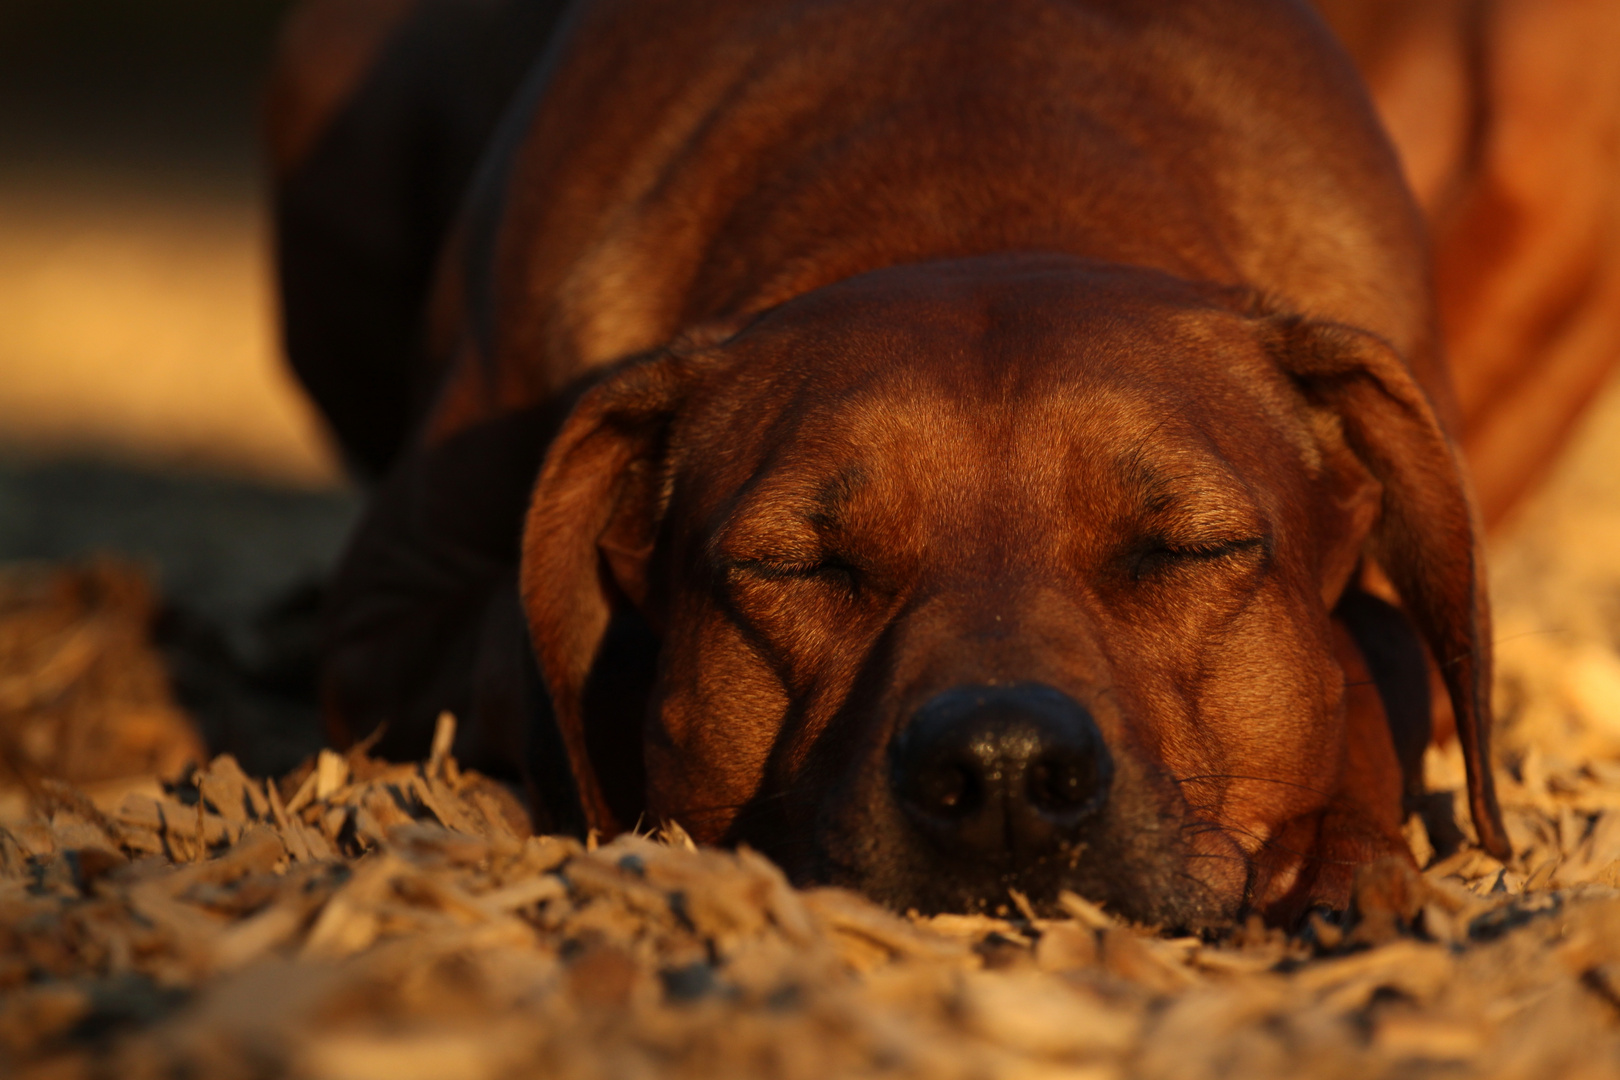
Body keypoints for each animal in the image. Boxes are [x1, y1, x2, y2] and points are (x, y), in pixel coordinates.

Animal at [265, 0, 1516, 932]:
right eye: (796, 567)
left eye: (1188, 550)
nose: (1005, 770)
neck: (981, 184)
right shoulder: (393, 612)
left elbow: (1376, 647)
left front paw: (1340, 852)